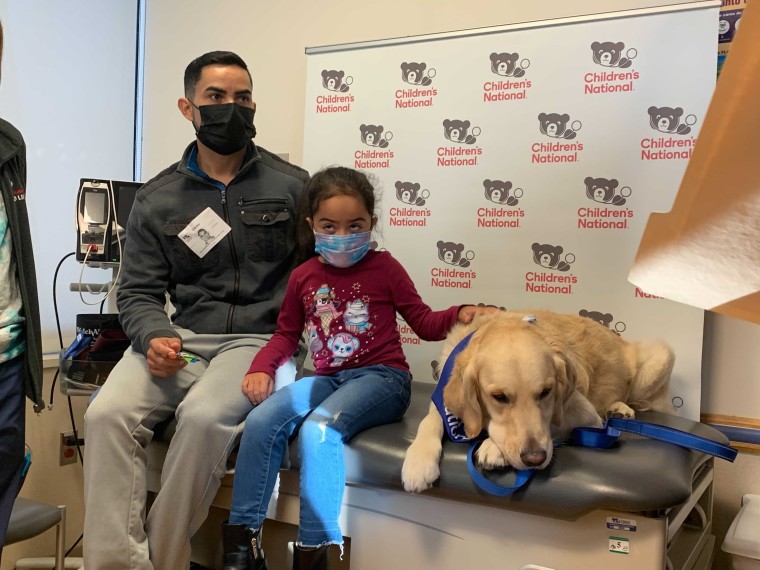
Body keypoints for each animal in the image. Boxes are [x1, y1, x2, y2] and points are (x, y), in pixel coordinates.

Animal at [400, 308, 672, 490]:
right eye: (499, 397)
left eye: (546, 392)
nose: (534, 459)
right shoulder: (443, 396)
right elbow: (430, 420)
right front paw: (419, 461)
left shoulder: (585, 414)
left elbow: (553, 423)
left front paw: (492, 447)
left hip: (660, 357)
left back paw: (620, 408)